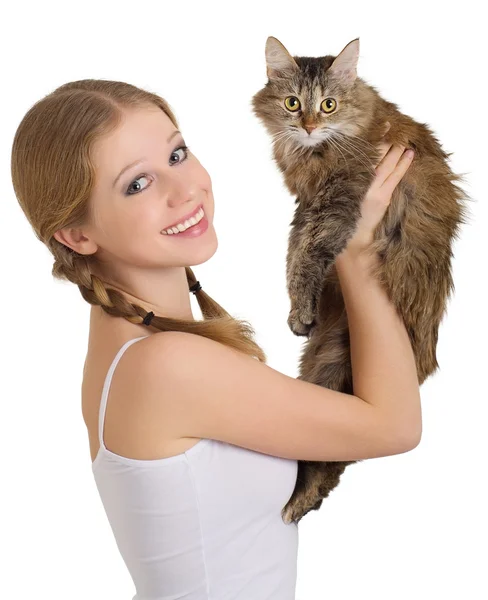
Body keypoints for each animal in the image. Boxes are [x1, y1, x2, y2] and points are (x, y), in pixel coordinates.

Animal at [250, 38, 470, 524]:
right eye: (292, 103)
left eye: (328, 105)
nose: (310, 126)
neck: (315, 153)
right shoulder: (308, 206)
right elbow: (293, 252)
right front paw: (299, 312)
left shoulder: (338, 200)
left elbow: (305, 255)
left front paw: (300, 310)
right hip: (327, 368)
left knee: (333, 459)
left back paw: (297, 504)